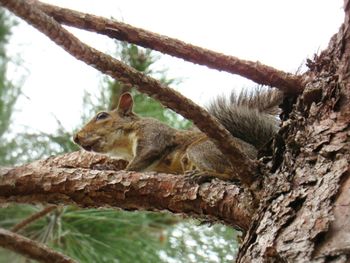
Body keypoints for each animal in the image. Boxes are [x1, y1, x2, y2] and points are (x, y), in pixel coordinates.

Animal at [73, 89, 282, 182]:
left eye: (102, 116)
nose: (76, 137)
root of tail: (256, 153)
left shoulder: (153, 134)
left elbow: (142, 158)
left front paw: (120, 171)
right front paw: (104, 166)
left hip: (201, 149)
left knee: (232, 174)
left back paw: (204, 174)